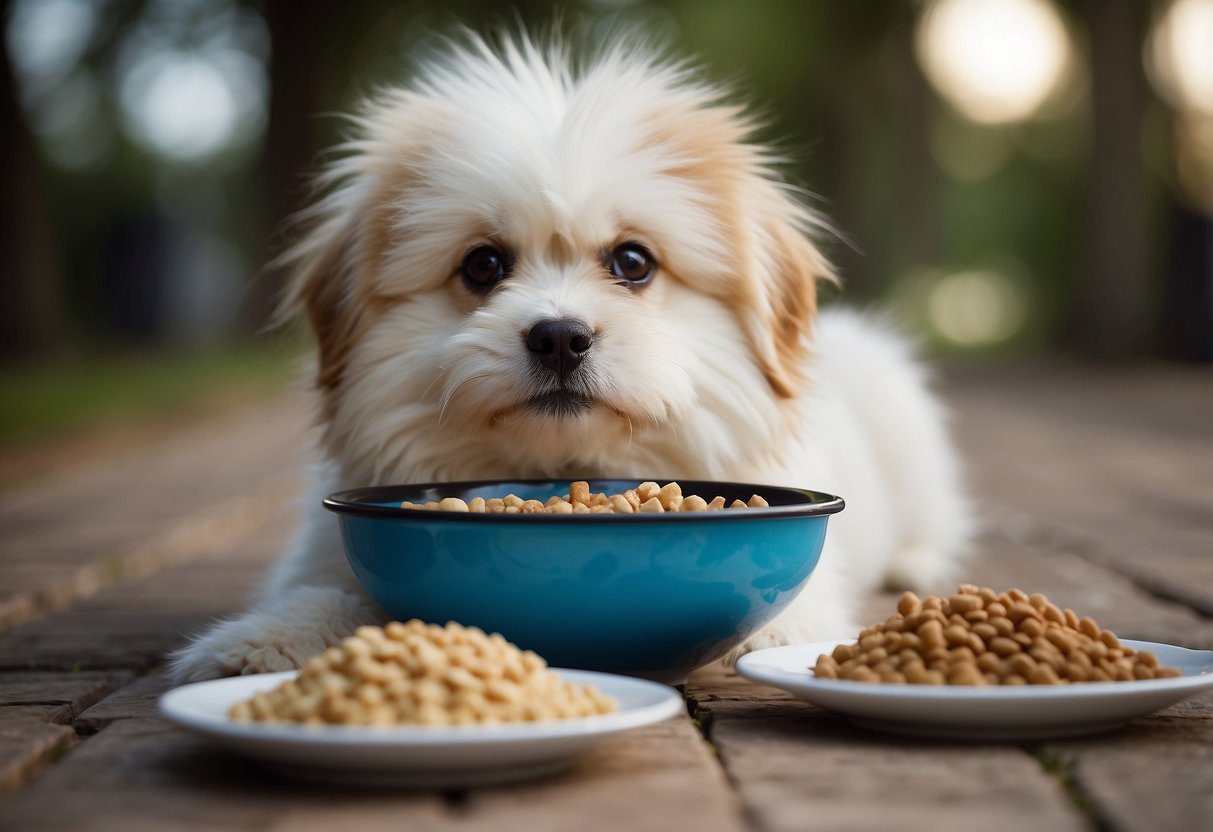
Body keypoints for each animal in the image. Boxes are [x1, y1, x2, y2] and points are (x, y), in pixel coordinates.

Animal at [171, 32, 970, 684]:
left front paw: (778, 632)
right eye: (483, 265)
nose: (559, 336)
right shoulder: (326, 554)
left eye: (633, 262)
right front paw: (260, 644)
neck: (563, 466)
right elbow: (332, 590)